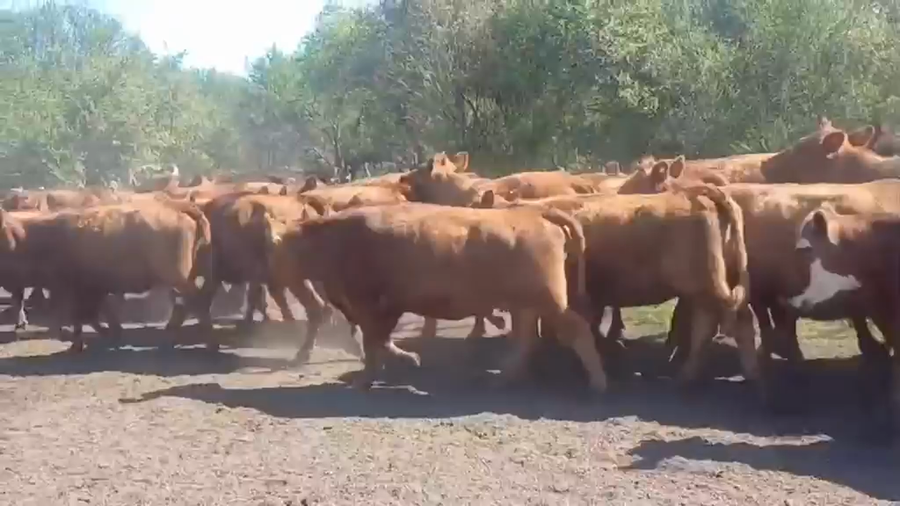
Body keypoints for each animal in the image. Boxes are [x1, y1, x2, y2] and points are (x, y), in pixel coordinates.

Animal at [262, 201, 608, 392]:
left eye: (274, 251)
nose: (268, 278)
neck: (335, 239)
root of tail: (535, 213)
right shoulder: (383, 306)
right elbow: (379, 340)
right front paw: (406, 359)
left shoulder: (371, 304)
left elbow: (374, 342)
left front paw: (369, 378)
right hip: (527, 304)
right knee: (526, 340)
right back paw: (504, 378)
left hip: (548, 300)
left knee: (575, 330)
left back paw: (598, 381)